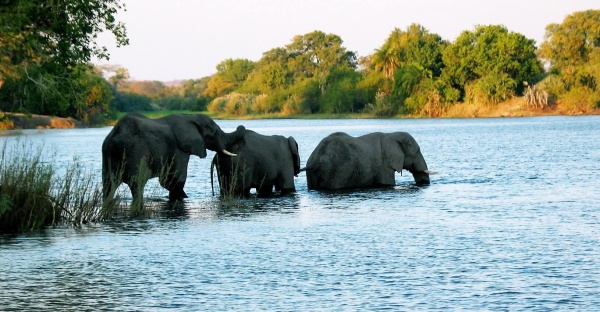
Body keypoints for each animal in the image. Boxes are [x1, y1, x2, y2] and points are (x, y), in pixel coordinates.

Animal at [102, 112, 245, 205]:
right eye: (214, 133)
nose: (241, 126)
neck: (189, 117)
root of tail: (113, 137)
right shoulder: (178, 149)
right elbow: (175, 178)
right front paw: (182, 198)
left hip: (107, 154)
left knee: (108, 184)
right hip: (134, 152)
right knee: (137, 183)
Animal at [304, 130, 432, 189]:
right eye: (416, 152)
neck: (390, 134)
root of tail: (315, 160)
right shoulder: (384, 166)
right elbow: (387, 183)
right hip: (336, 171)